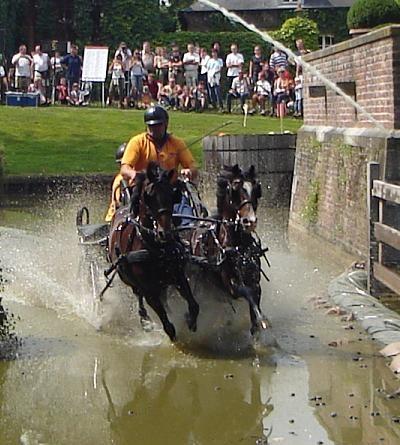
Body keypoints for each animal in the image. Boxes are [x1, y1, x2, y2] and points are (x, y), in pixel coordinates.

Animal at [108, 162, 199, 340]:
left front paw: (190, 320)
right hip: (128, 278)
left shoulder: (178, 276)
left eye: (171, 194)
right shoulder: (149, 290)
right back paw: (144, 319)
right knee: (138, 295)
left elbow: (193, 304)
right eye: (149, 195)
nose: (165, 232)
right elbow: (168, 326)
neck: (156, 247)